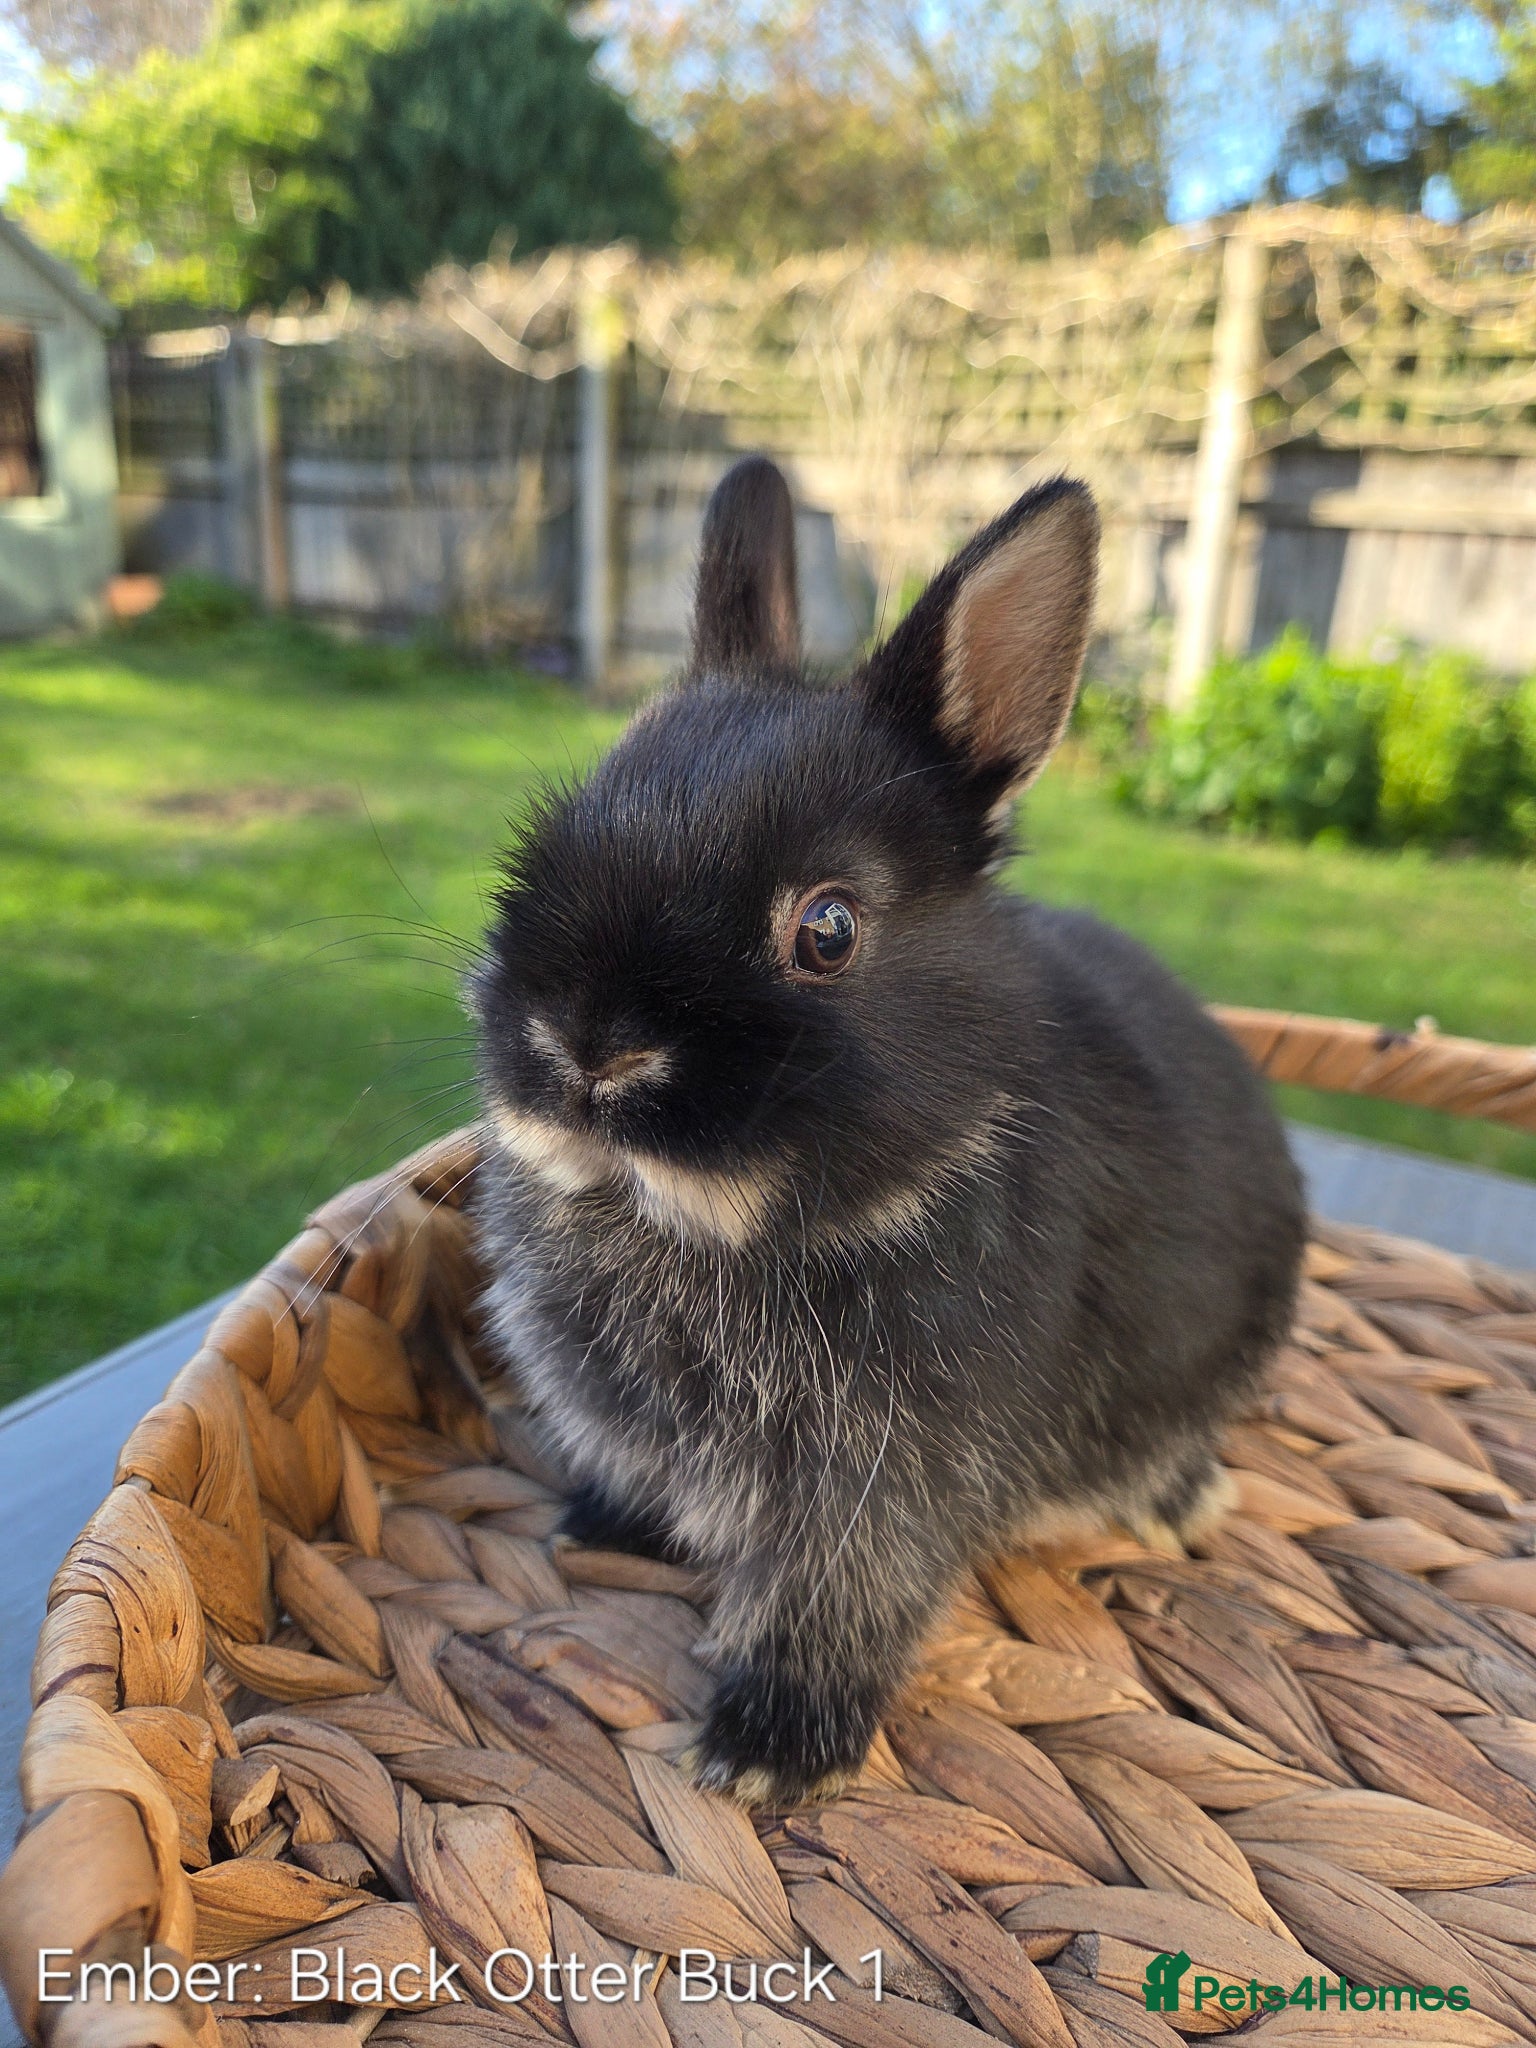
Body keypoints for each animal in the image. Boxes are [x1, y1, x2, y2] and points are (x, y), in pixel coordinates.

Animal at [472, 455, 1305, 1806]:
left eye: (828, 929)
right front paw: (603, 1525)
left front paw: (764, 1753)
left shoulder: (883, 1490)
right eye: (552, 837)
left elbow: (838, 1603)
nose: (587, 1048)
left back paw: (1175, 1504)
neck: (696, 1224)